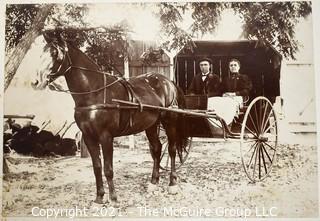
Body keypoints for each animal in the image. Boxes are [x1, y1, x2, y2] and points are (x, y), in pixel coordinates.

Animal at [31, 31, 188, 204]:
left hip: (169, 122)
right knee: (157, 148)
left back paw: (172, 183)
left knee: (172, 150)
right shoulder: (89, 137)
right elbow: (97, 167)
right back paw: (154, 182)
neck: (95, 92)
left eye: (54, 53)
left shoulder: (106, 137)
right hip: (151, 125)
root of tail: (168, 82)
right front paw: (99, 197)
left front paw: (113, 197)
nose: (35, 82)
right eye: (41, 52)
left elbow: (108, 169)